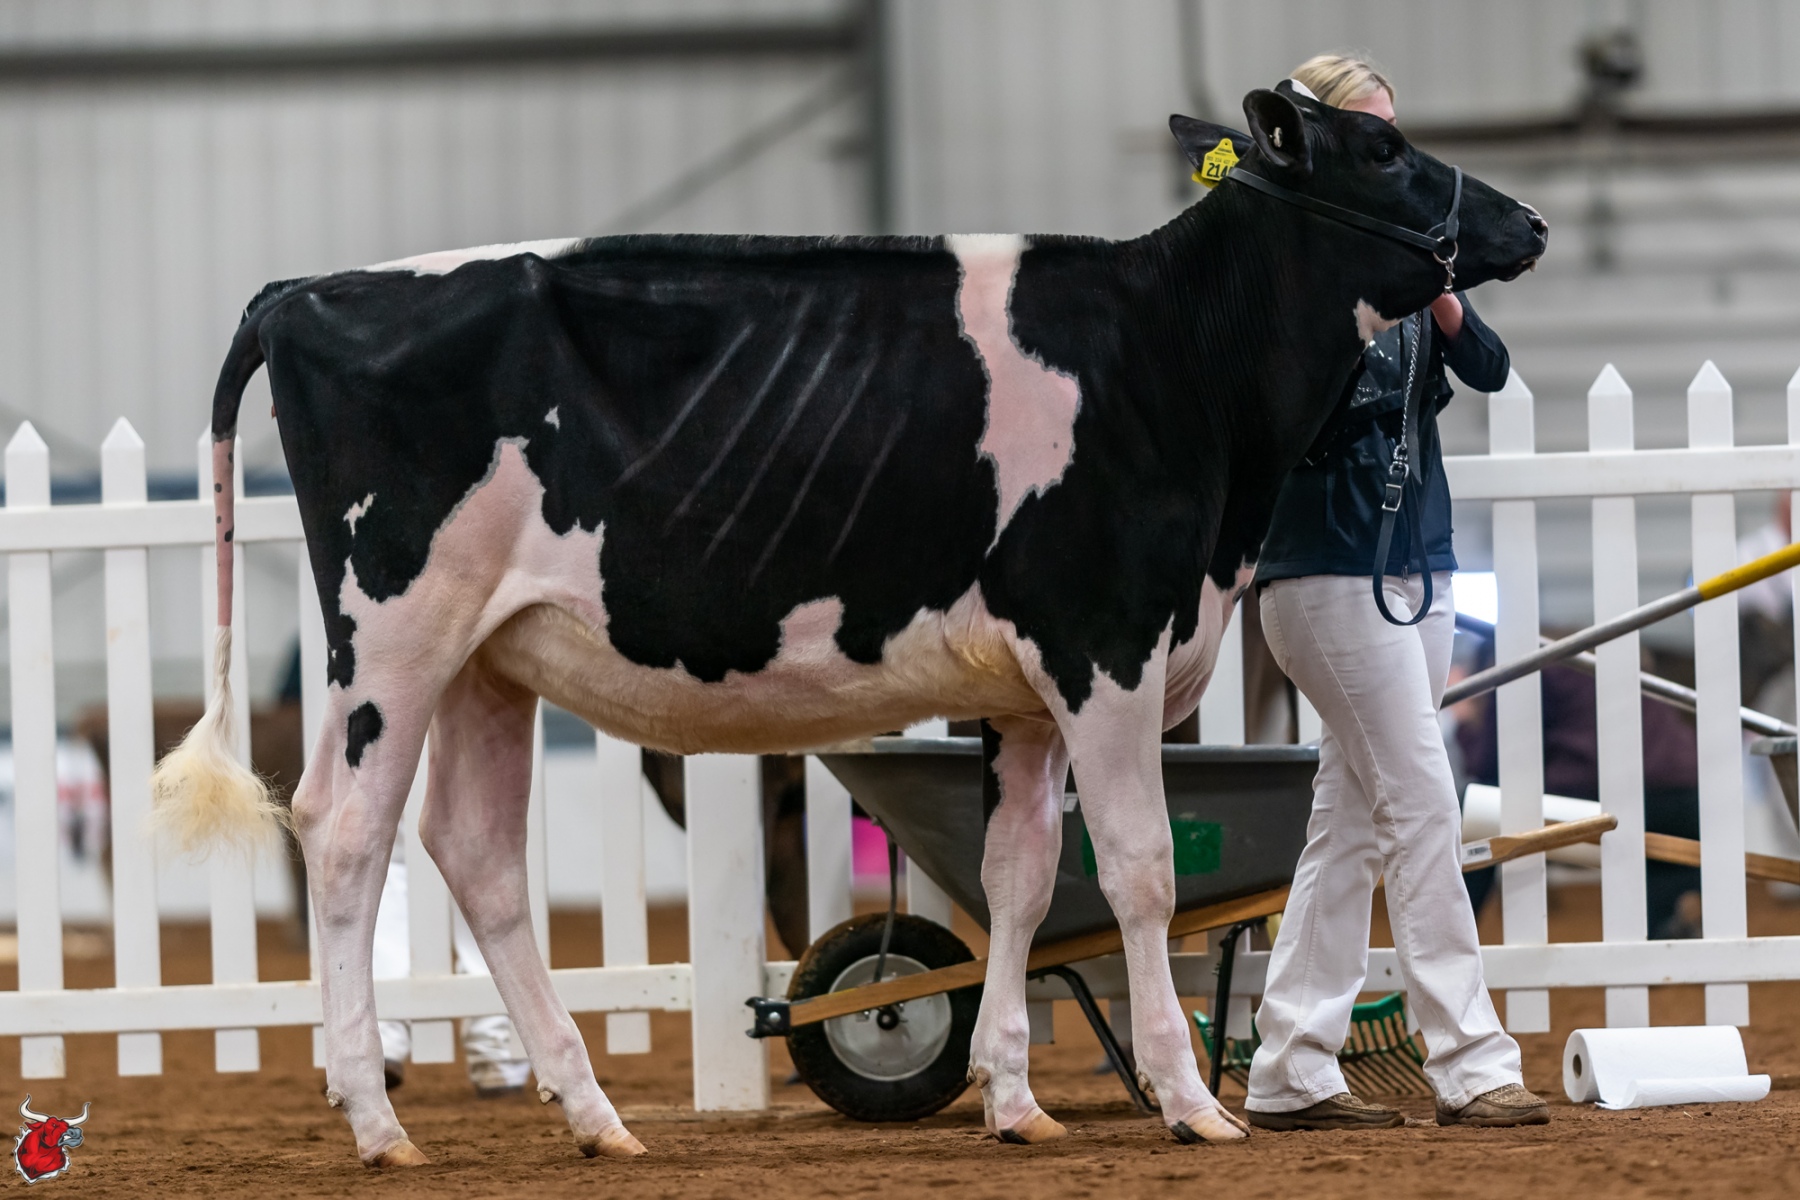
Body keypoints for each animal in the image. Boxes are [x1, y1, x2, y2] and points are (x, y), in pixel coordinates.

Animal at [151, 83, 1546, 1167]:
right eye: (1382, 149)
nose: (1526, 221)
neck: (1176, 363)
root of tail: (309, 291)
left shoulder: (1024, 690)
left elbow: (1022, 878)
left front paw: (1016, 1101)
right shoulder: (1105, 642)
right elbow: (1141, 869)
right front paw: (1190, 1101)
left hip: (494, 653)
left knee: (476, 851)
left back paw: (596, 1115)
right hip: (392, 630)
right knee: (343, 833)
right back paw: (378, 1123)